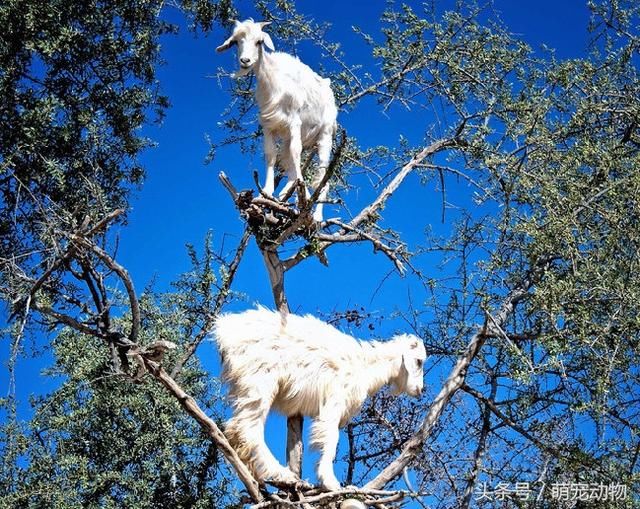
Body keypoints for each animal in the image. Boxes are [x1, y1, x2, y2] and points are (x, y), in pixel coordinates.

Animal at [212, 306, 428, 488]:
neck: (365, 366)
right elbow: (331, 441)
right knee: (248, 427)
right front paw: (331, 483)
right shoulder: (335, 401)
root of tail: (224, 331)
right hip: (259, 381)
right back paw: (282, 474)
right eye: (419, 361)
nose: (419, 389)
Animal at [216, 18, 338, 221]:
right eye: (236, 42)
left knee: (322, 175)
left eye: (259, 41)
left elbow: (296, 153)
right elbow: (271, 155)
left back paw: (318, 216)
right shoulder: (269, 126)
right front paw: (267, 191)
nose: (245, 61)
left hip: (325, 136)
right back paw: (285, 194)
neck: (275, 82)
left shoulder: (295, 122)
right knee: (289, 162)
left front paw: (301, 195)